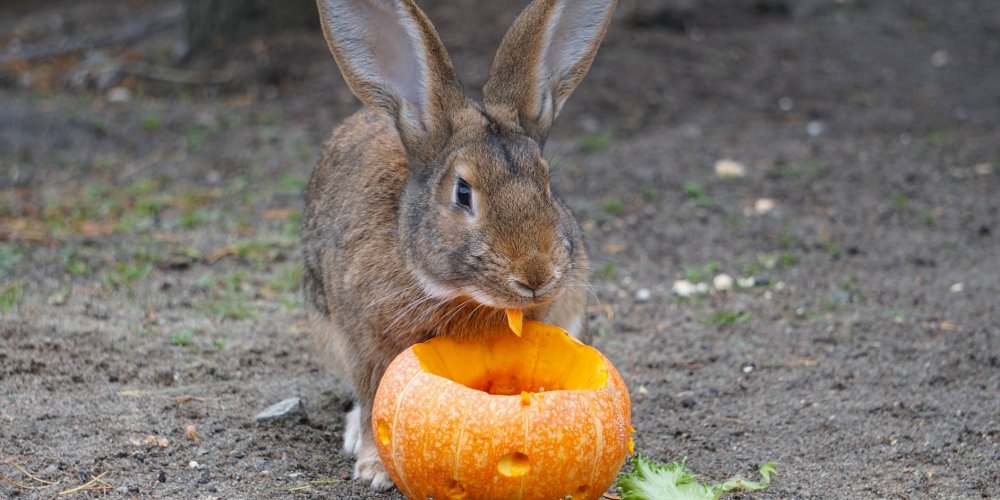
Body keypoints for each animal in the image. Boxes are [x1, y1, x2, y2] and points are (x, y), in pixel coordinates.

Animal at [302, 0, 616, 492]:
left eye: (547, 183)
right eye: (463, 193)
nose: (535, 276)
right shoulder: (365, 346)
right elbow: (372, 397)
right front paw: (375, 469)